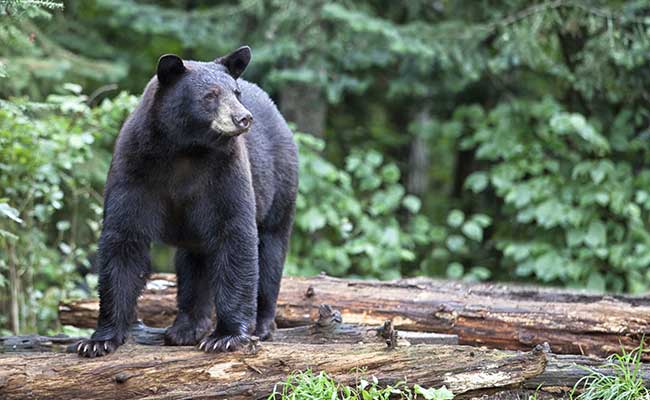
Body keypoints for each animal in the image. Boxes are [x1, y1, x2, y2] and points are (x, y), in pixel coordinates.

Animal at [75, 46, 296, 356]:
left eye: (235, 92)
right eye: (210, 95)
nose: (243, 118)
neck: (185, 149)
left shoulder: (225, 172)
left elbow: (235, 234)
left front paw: (226, 336)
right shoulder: (134, 168)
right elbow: (124, 238)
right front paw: (99, 340)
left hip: (280, 185)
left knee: (271, 251)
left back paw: (262, 326)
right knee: (194, 263)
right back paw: (186, 328)